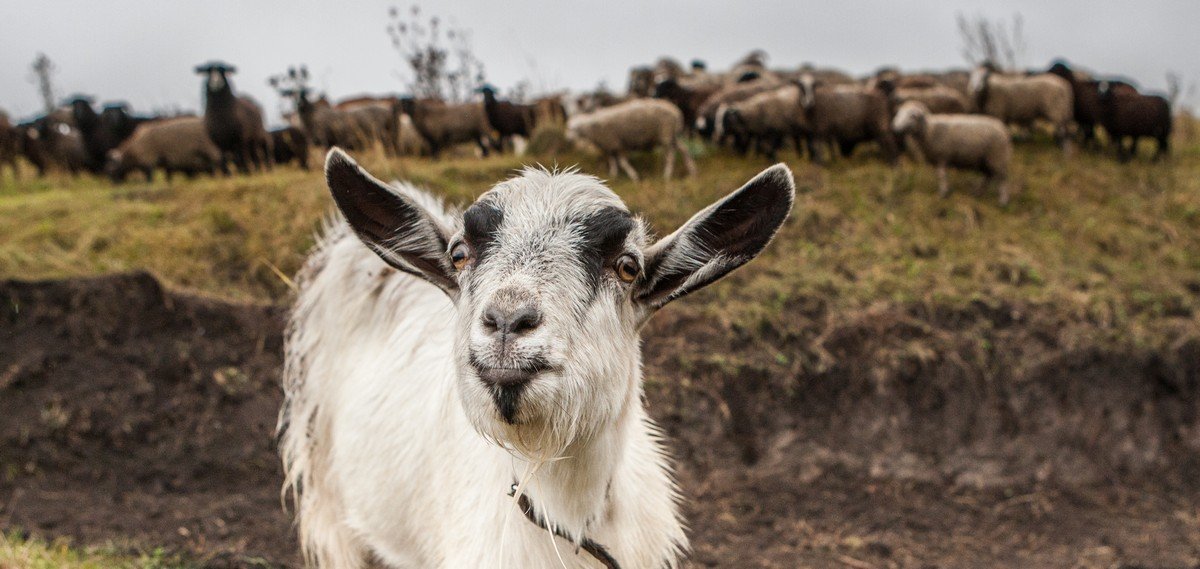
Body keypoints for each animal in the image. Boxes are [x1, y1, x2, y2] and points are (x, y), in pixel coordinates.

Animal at [566, 99, 700, 181]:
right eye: (569, 127)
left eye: (575, 128)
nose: (568, 138)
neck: (592, 127)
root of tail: (676, 112)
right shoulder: (610, 146)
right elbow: (613, 161)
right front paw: (613, 175)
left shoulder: (617, 144)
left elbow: (622, 162)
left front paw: (634, 176)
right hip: (671, 135)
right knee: (684, 149)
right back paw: (692, 171)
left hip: (665, 133)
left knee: (671, 155)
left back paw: (667, 174)